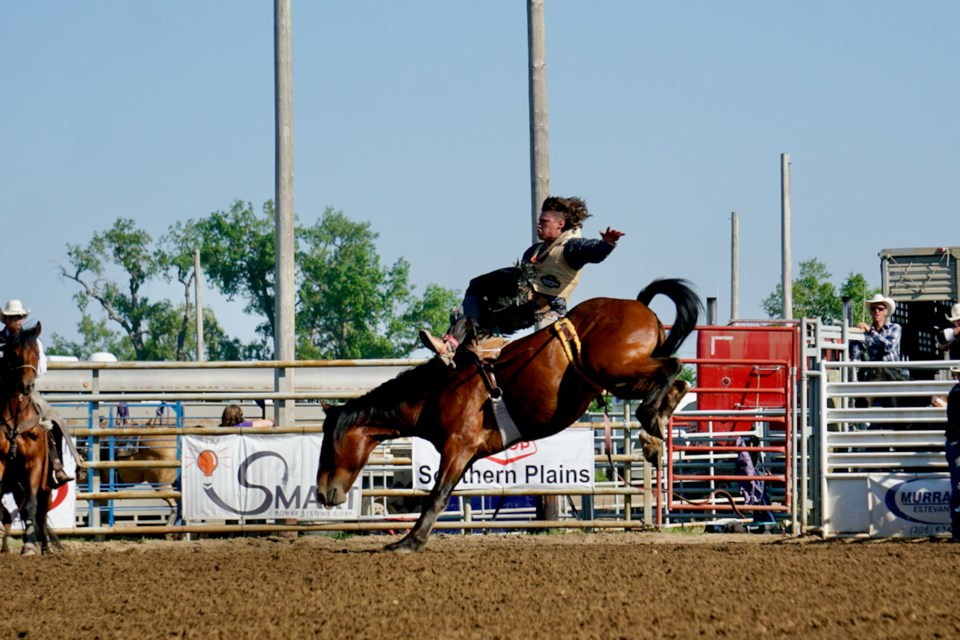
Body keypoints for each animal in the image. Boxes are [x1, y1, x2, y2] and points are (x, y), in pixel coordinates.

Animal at [318, 278, 700, 552]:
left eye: (328, 445)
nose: (322, 494)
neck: (434, 391)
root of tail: (638, 304)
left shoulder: (458, 447)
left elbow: (437, 496)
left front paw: (408, 542)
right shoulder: (466, 455)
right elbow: (444, 494)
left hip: (615, 367)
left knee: (673, 366)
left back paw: (650, 420)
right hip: (616, 378)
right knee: (677, 383)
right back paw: (653, 434)